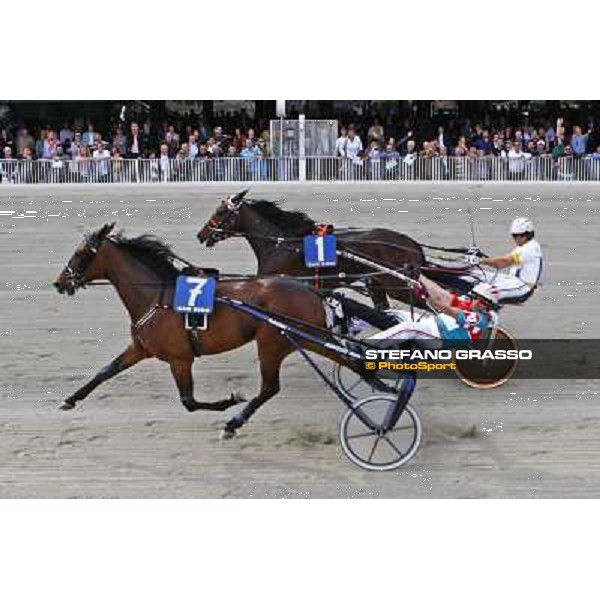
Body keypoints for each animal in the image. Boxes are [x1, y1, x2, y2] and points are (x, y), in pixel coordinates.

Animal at [54, 220, 368, 436]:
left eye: (80, 253)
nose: (59, 282)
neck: (156, 298)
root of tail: (310, 289)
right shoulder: (140, 348)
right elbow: (105, 371)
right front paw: (70, 400)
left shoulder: (180, 359)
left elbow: (189, 402)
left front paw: (230, 400)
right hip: (306, 337)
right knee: (346, 359)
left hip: (275, 341)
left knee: (271, 387)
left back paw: (233, 423)